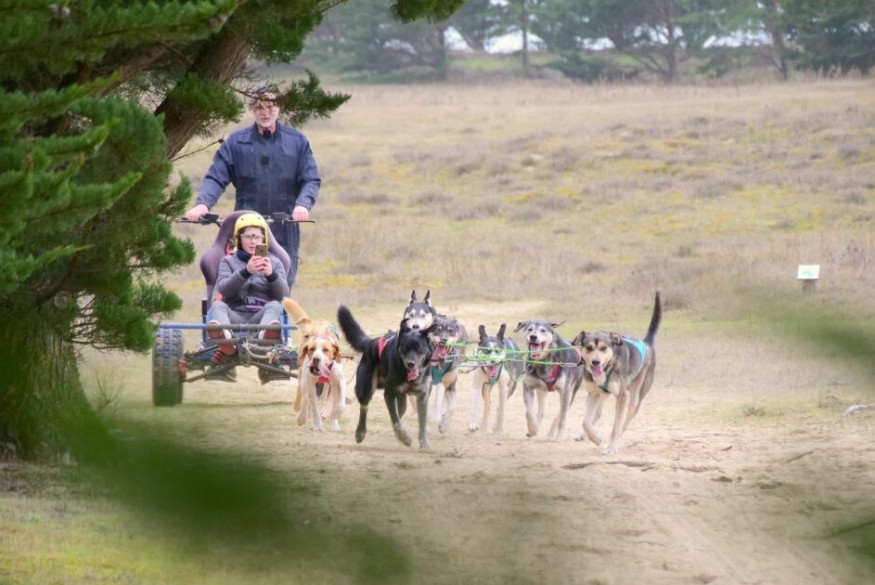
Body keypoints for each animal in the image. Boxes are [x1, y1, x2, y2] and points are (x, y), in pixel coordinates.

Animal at [283, 298, 346, 431]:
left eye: (326, 349)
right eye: (306, 336)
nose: (315, 358)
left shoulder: (339, 381)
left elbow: (340, 404)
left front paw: (335, 416)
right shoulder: (309, 382)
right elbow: (313, 406)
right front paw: (317, 424)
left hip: (331, 383)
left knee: (328, 394)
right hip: (303, 377)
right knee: (305, 397)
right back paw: (302, 416)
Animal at [337, 304, 434, 449]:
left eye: (419, 348)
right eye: (405, 348)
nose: (410, 364)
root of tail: (371, 342)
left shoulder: (422, 396)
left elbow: (421, 422)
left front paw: (424, 444)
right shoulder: (389, 394)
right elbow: (395, 420)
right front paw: (404, 438)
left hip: (401, 399)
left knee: (400, 411)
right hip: (365, 389)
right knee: (364, 407)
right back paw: (360, 432)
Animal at [571, 292, 661, 455]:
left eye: (603, 348)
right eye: (589, 347)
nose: (595, 362)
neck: (609, 366)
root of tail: (647, 343)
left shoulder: (622, 396)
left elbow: (616, 426)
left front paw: (612, 446)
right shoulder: (593, 394)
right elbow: (585, 422)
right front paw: (596, 438)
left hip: (635, 397)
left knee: (625, 422)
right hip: (601, 395)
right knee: (597, 414)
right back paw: (586, 434)